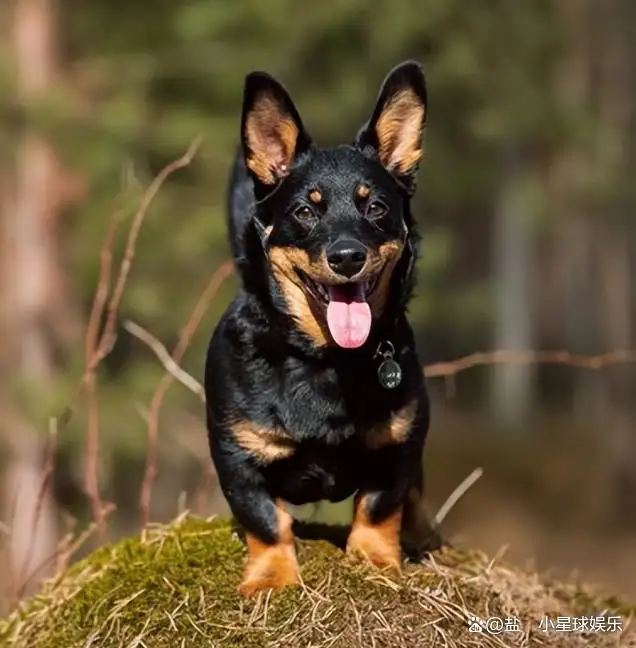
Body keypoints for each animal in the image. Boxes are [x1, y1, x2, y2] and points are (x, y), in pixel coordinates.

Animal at [206, 62, 440, 596]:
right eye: (305, 211)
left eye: (375, 207)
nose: (347, 257)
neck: (327, 359)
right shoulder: (236, 457)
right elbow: (266, 520)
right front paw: (271, 576)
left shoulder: (400, 444)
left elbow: (380, 505)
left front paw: (375, 560)